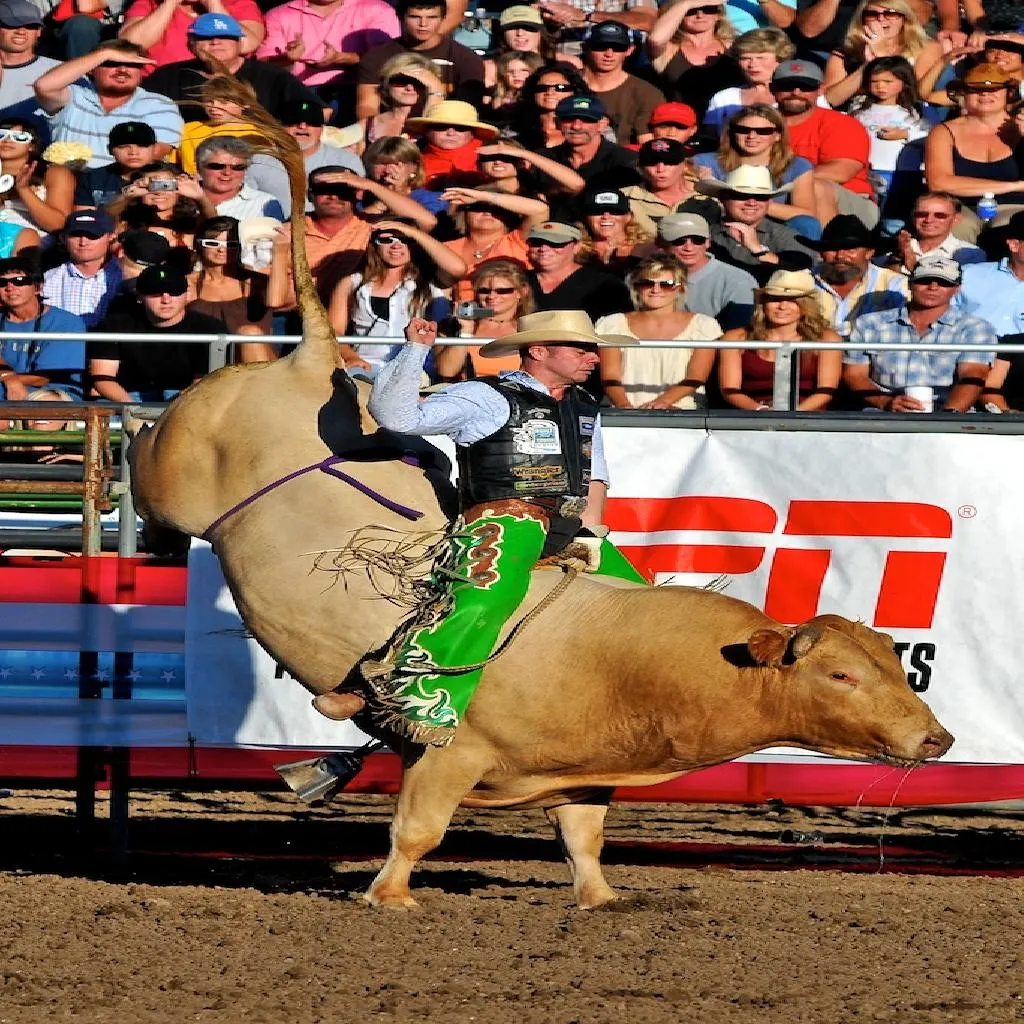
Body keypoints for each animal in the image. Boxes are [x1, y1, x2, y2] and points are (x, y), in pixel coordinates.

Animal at [125, 97, 950, 913]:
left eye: (890, 664)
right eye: (840, 677)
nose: (935, 741)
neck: (627, 660)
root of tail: (316, 361)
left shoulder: (582, 774)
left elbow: (583, 837)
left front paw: (601, 898)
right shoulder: (451, 755)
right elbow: (419, 829)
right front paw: (390, 895)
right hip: (179, 466)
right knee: (153, 463)